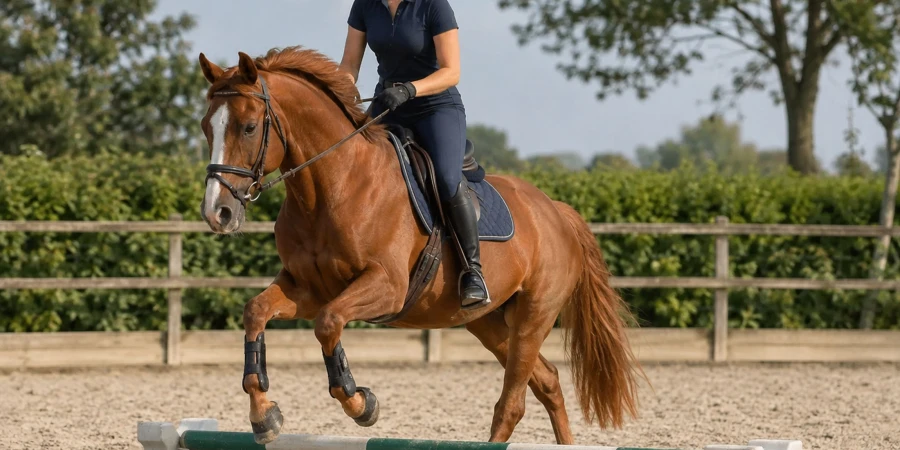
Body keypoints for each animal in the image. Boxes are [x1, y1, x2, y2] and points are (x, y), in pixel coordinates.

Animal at [197, 46, 645, 445]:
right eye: (206, 126)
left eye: (249, 127)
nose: (217, 212)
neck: (332, 187)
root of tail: (555, 211)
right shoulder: (307, 289)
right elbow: (256, 312)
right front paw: (264, 416)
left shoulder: (386, 287)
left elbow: (328, 323)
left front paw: (361, 404)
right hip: (488, 321)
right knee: (548, 382)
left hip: (534, 316)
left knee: (512, 403)